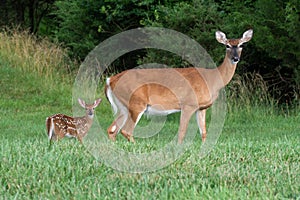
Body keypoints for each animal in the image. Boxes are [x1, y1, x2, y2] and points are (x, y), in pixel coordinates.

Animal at [104, 28, 252, 143]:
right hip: (137, 102)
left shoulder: (201, 108)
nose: (235, 58)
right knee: (126, 130)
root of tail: (110, 80)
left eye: (241, 45)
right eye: (227, 46)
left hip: (123, 106)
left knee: (112, 129)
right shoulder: (188, 104)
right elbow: (182, 132)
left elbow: (203, 133)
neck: (212, 79)